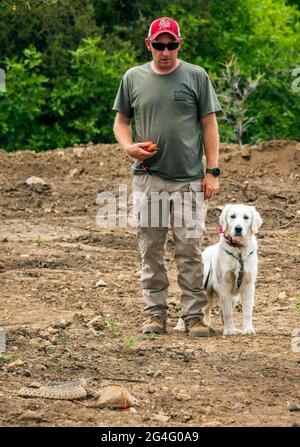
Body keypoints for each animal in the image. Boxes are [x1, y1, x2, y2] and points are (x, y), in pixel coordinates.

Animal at [176, 206, 262, 336]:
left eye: (246, 217)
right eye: (232, 216)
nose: (238, 228)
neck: (238, 249)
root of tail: (205, 251)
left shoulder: (248, 285)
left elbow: (247, 311)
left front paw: (247, 329)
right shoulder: (224, 285)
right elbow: (227, 312)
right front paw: (229, 330)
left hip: (227, 297)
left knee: (207, 309)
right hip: (203, 287)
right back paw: (181, 326)